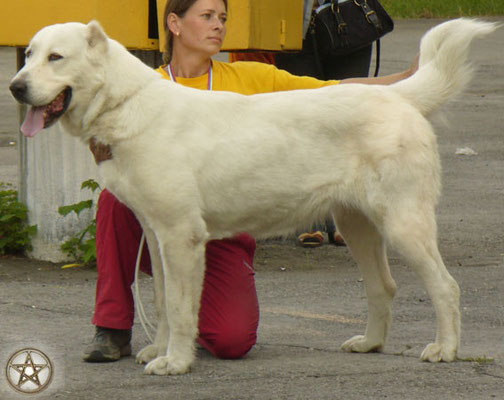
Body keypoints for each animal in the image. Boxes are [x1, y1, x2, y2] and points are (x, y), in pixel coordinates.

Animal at [9, 18, 494, 376]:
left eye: (56, 57)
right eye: (29, 54)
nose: (15, 87)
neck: (125, 101)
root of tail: (394, 94)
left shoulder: (180, 237)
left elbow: (182, 307)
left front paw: (176, 362)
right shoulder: (157, 235)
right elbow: (164, 301)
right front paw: (161, 350)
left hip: (403, 224)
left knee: (446, 286)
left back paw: (445, 349)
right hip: (357, 225)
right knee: (384, 286)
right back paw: (371, 343)